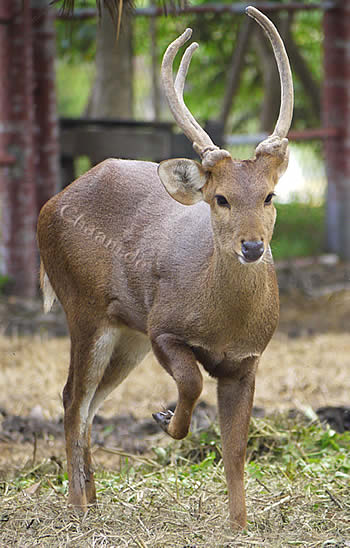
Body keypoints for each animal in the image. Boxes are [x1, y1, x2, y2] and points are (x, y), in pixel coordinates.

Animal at [37, 6, 292, 532]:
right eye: (221, 198)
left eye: (269, 195)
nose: (252, 246)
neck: (224, 322)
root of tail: (47, 207)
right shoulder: (163, 327)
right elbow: (191, 382)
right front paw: (166, 419)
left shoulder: (247, 360)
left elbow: (235, 451)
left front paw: (239, 524)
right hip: (85, 309)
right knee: (72, 398)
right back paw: (77, 509)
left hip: (125, 334)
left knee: (89, 404)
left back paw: (95, 500)